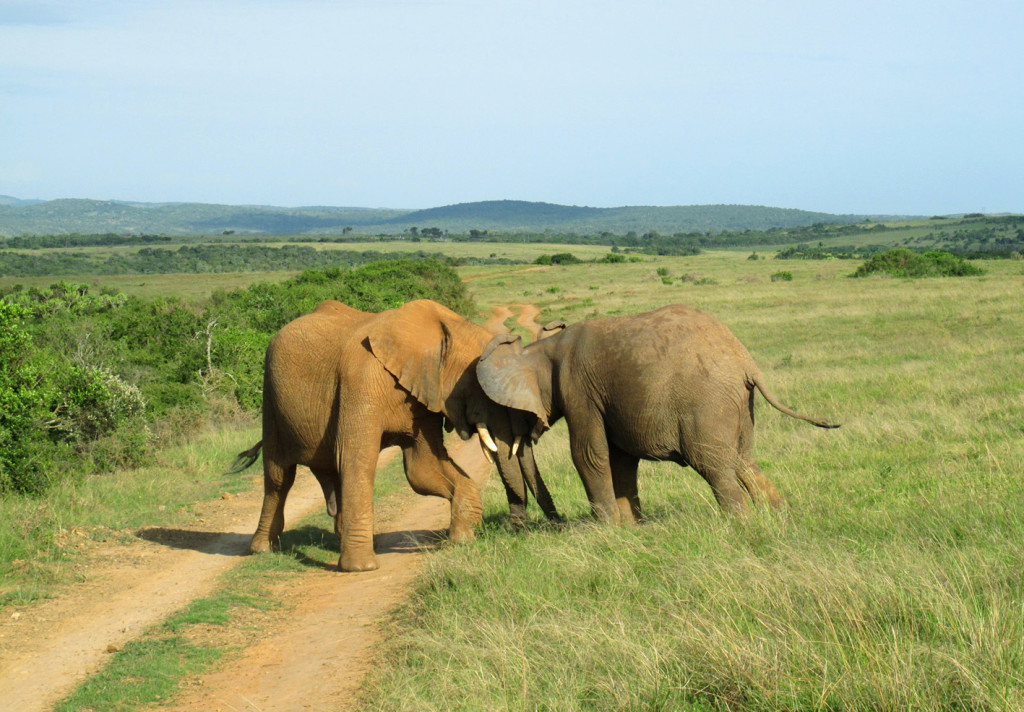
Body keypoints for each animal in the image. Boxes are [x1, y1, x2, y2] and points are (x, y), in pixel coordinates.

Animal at [230, 297, 561, 569]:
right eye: (482, 384)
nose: (516, 528)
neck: (443, 328)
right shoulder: (360, 380)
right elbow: (358, 462)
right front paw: (361, 568)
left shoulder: (423, 396)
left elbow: (422, 469)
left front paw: (463, 538)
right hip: (271, 398)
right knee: (279, 477)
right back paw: (263, 549)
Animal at [475, 303, 835, 524]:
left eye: (506, 409)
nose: (556, 523)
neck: (544, 349)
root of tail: (745, 360)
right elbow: (620, 461)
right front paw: (631, 528)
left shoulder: (577, 388)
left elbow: (588, 455)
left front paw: (607, 530)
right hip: (738, 405)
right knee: (744, 462)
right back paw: (777, 520)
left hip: (707, 403)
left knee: (715, 467)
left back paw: (740, 525)